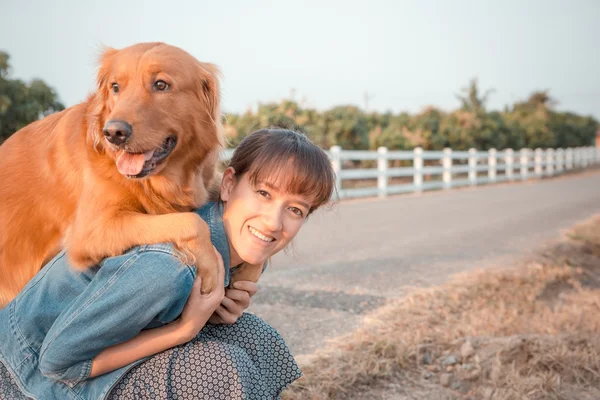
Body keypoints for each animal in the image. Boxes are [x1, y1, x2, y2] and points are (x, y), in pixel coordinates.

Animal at [0, 42, 223, 306]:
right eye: (115, 87)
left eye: (161, 85)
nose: (114, 133)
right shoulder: (91, 229)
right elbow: (191, 221)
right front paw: (211, 271)